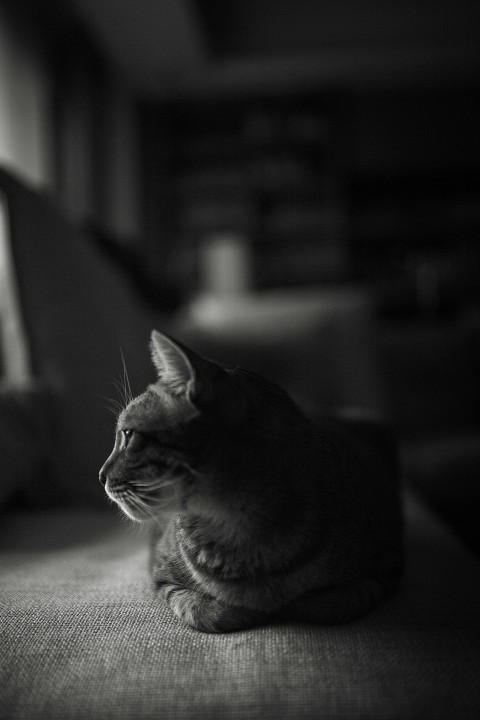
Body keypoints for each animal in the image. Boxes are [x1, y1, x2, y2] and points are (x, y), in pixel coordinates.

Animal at [99, 330, 404, 632]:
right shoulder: (161, 574)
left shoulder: (386, 566)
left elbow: (333, 604)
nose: (100, 476)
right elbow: (202, 609)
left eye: (127, 435)